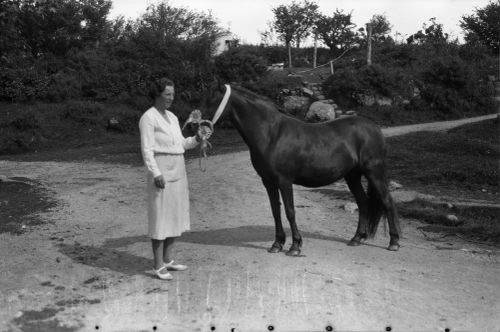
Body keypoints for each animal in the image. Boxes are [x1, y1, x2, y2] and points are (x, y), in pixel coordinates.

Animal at [197, 83, 400, 254]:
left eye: (212, 100)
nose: (194, 124)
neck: (272, 134)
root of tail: (374, 128)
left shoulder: (284, 181)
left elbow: (290, 211)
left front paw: (295, 246)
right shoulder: (268, 182)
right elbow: (276, 211)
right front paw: (277, 244)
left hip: (374, 172)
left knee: (387, 201)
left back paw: (394, 242)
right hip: (353, 176)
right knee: (363, 202)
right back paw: (357, 238)